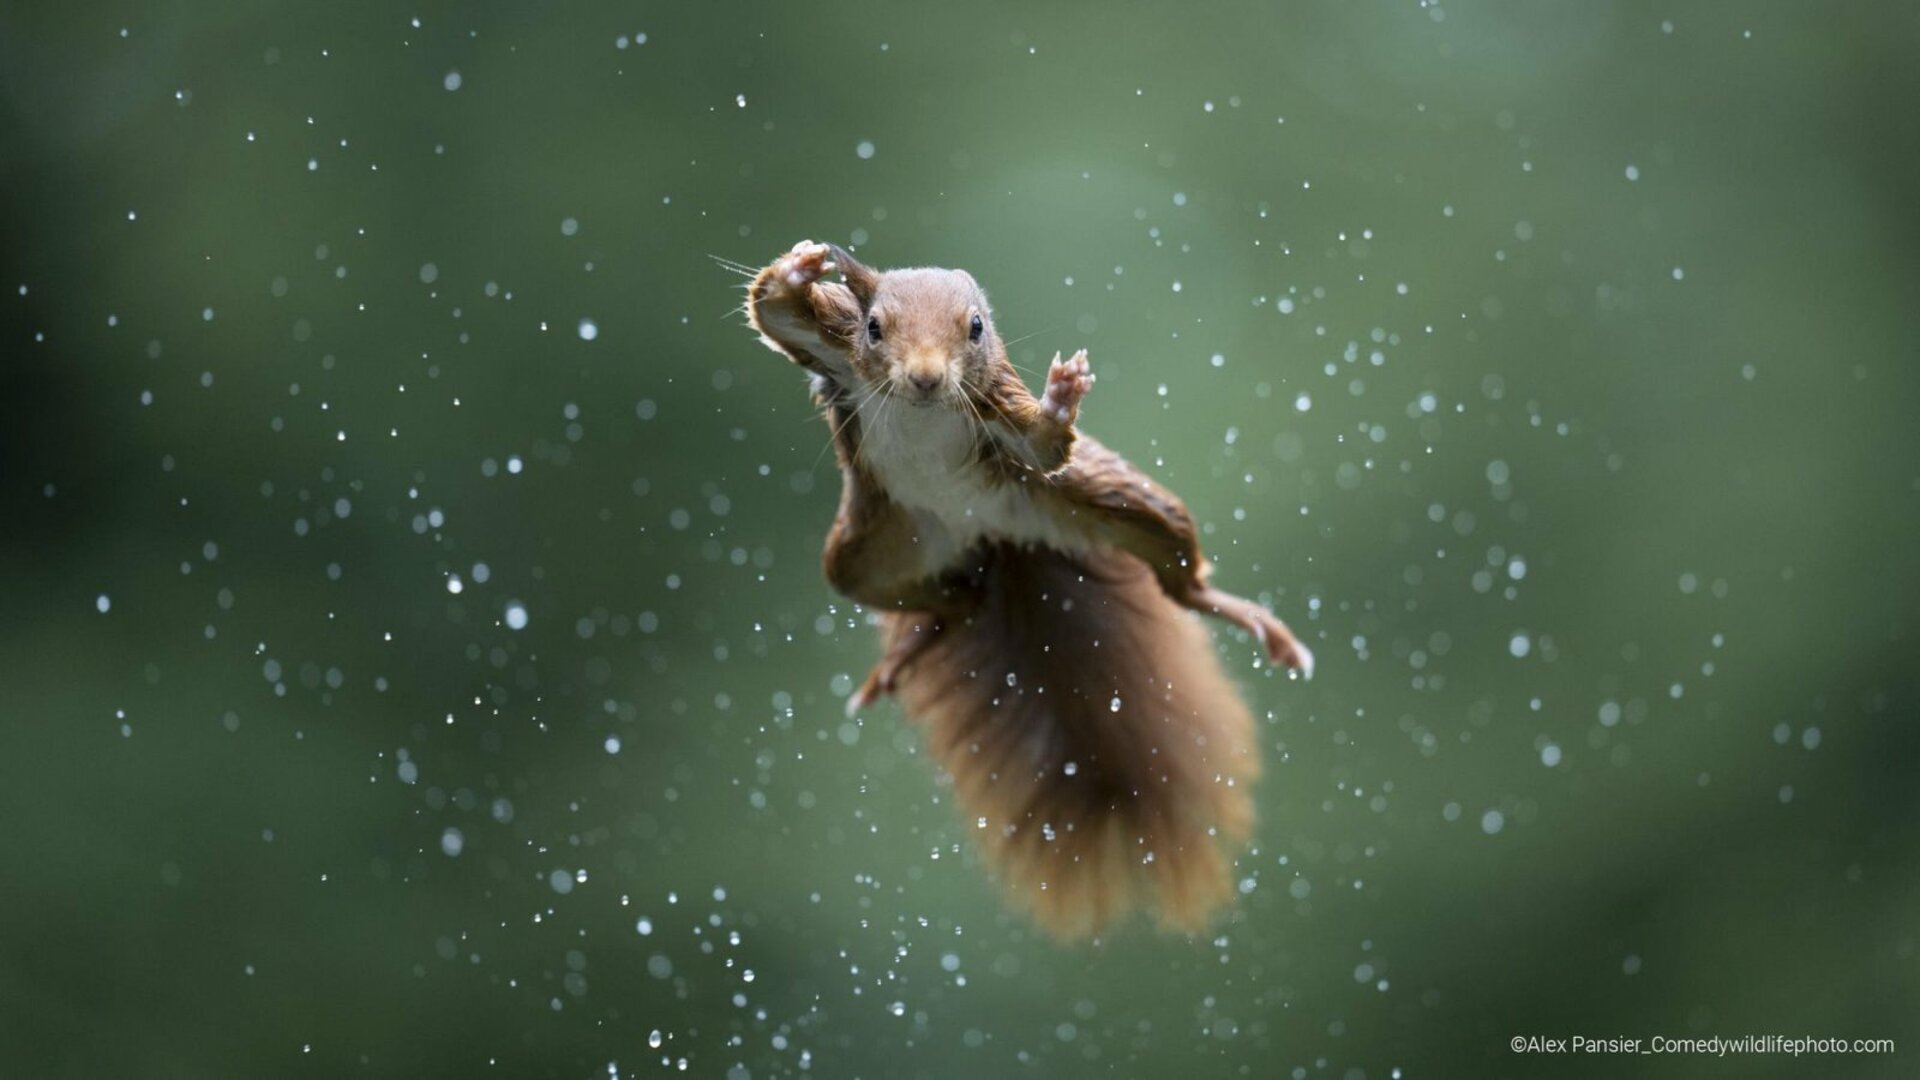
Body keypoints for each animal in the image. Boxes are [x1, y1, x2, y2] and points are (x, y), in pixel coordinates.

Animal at [741, 239, 1313, 930]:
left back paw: (1251, 619)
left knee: (1178, 577)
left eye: (976, 328)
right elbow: (774, 311)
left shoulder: (998, 410)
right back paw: (911, 647)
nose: (926, 378)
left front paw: (1062, 397)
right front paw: (800, 267)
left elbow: (1043, 445)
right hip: (868, 553)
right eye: (875, 327)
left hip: (1111, 502)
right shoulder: (836, 350)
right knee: (952, 600)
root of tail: (992, 538)